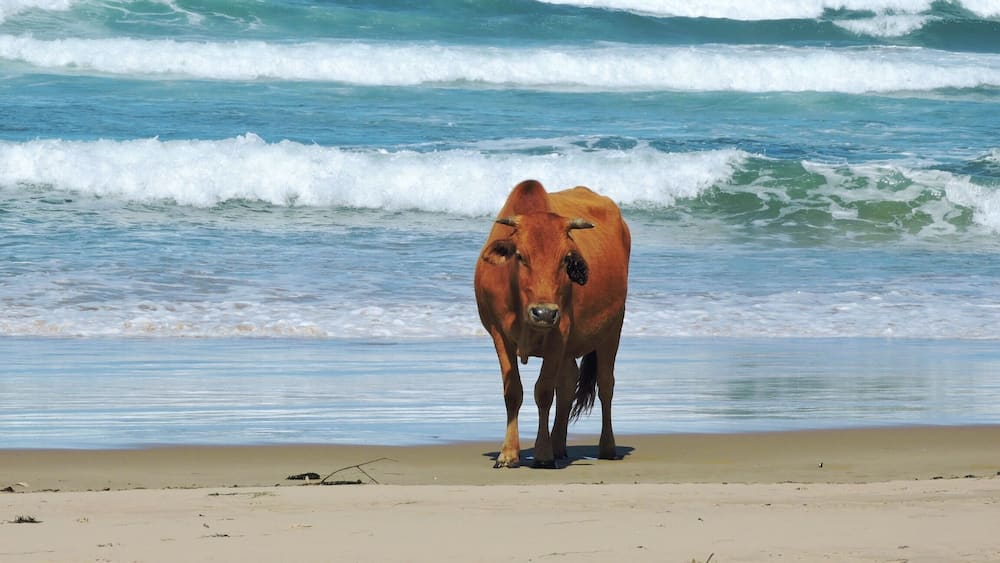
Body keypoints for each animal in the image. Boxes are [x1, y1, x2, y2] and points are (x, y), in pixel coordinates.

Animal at [474, 180, 630, 468]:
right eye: (520, 256)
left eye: (566, 259)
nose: (544, 313)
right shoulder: (499, 334)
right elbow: (513, 392)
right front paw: (509, 453)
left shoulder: (560, 332)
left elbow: (544, 392)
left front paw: (543, 454)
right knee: (568, 384)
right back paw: (559, 445)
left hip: (613, 329)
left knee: (605, 386)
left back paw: (606, 447)